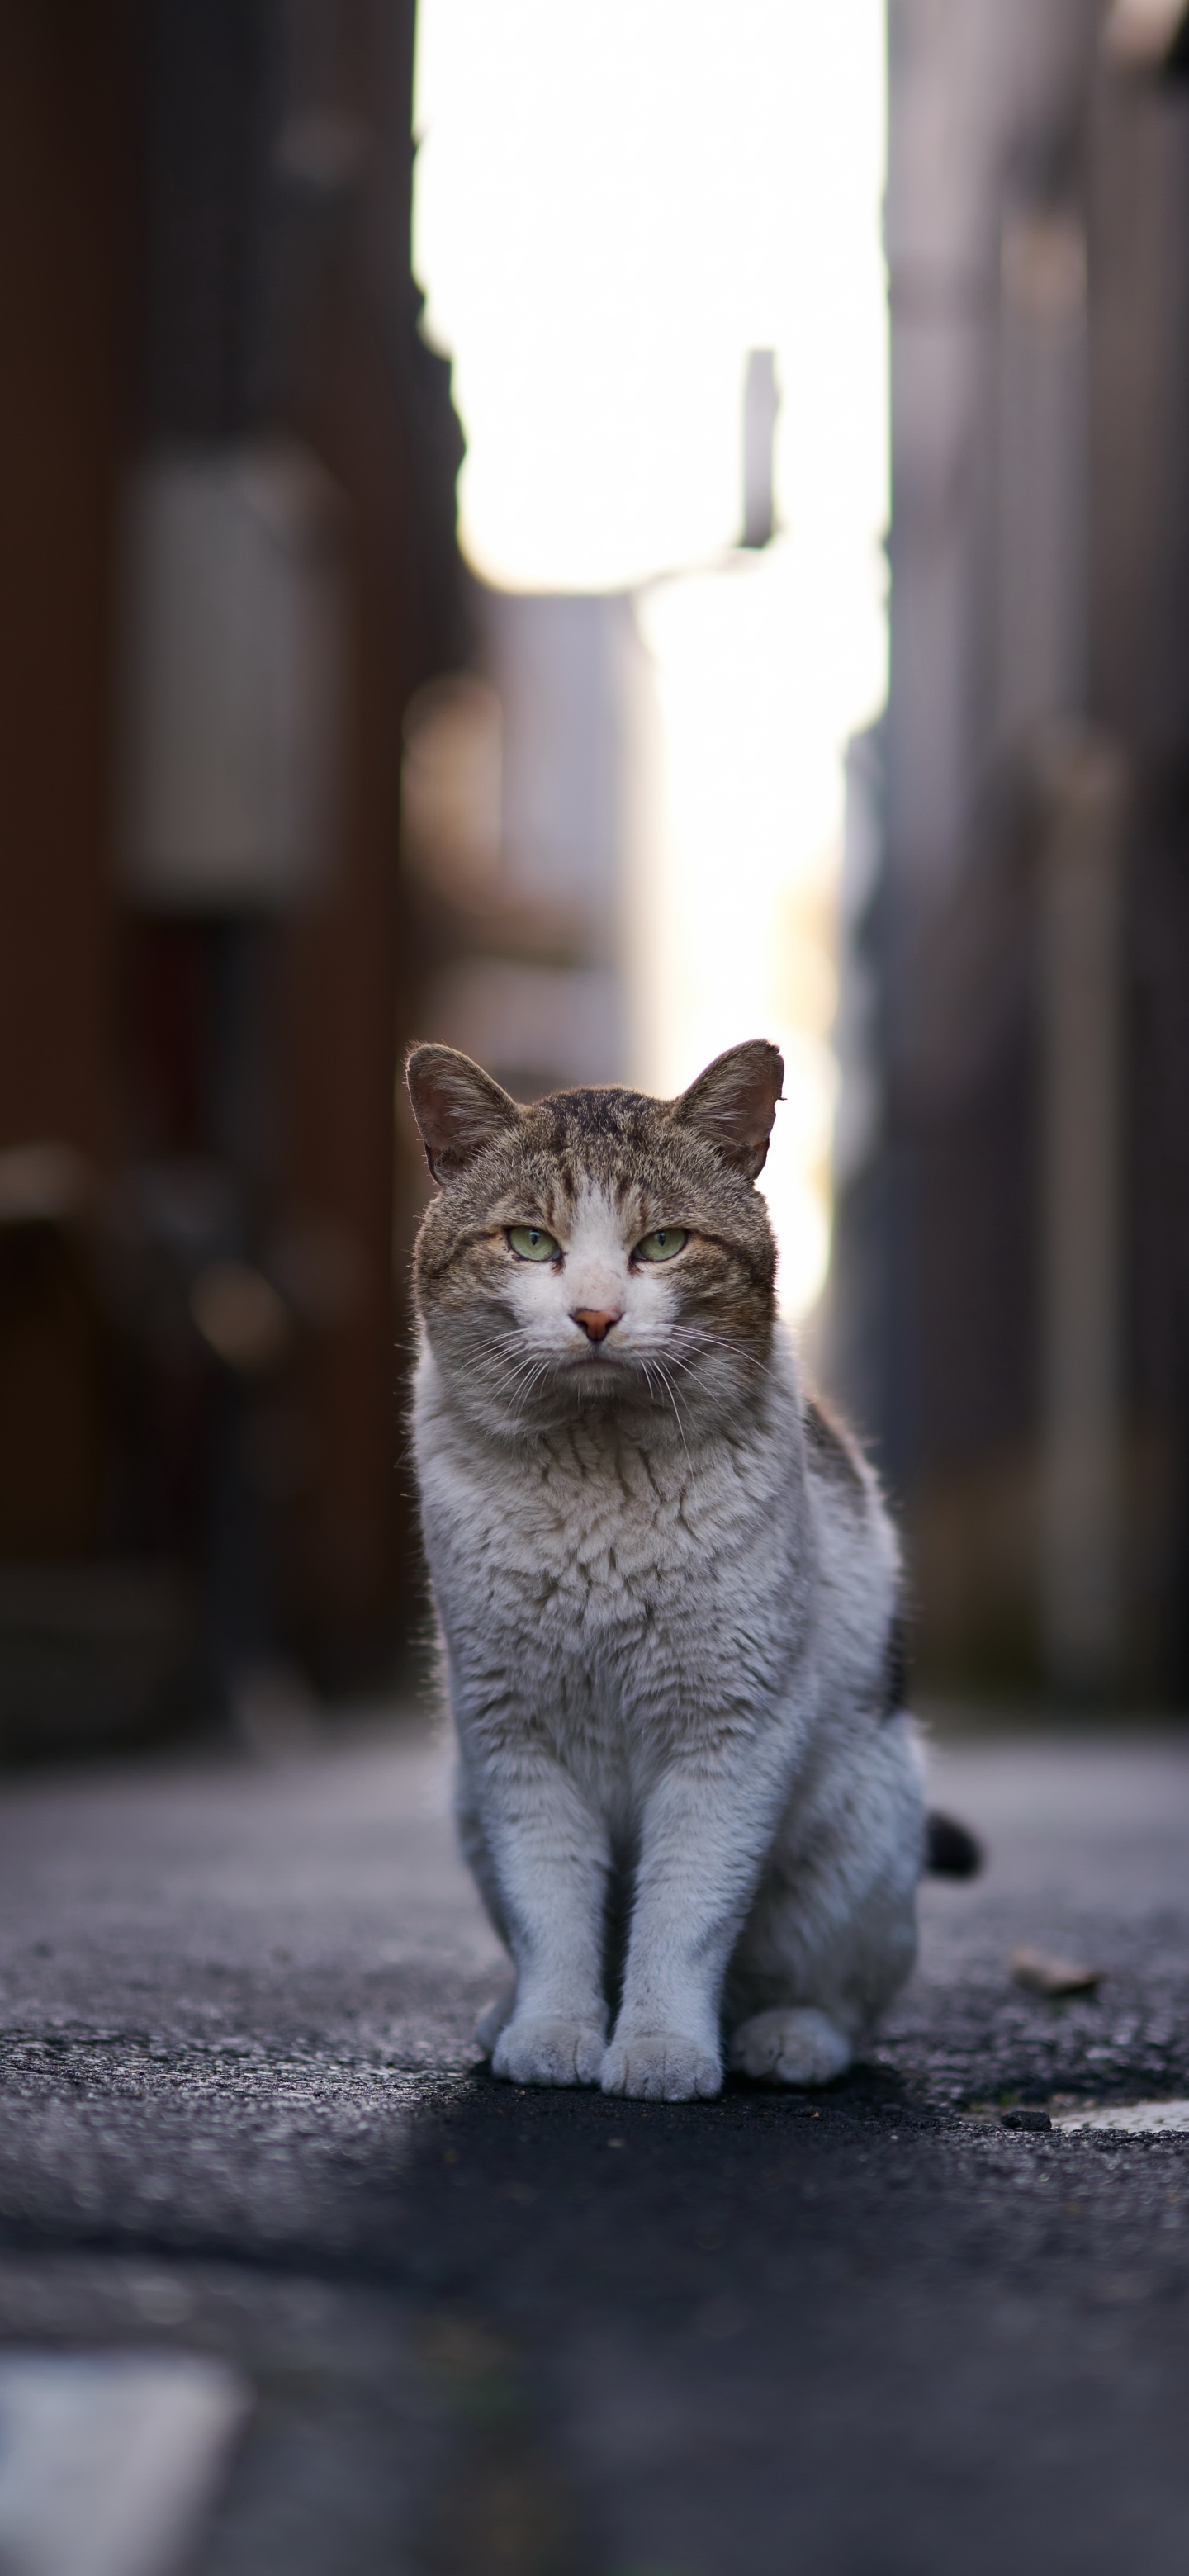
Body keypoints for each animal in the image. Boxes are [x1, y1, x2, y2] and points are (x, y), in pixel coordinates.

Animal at [404, 1035, 973, 2101]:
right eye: (530, 1242)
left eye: (663, 1245)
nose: (593, 1315)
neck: (598, 1482)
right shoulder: (514, 1736)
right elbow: (551, 1913)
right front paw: (553, 2033)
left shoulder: (729, 1733)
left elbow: (683, 1913)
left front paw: (663, 2050)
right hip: (464, 1805)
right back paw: (503, 2018)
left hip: (864, 1834)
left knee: (838, 1991)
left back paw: (787, 2040)